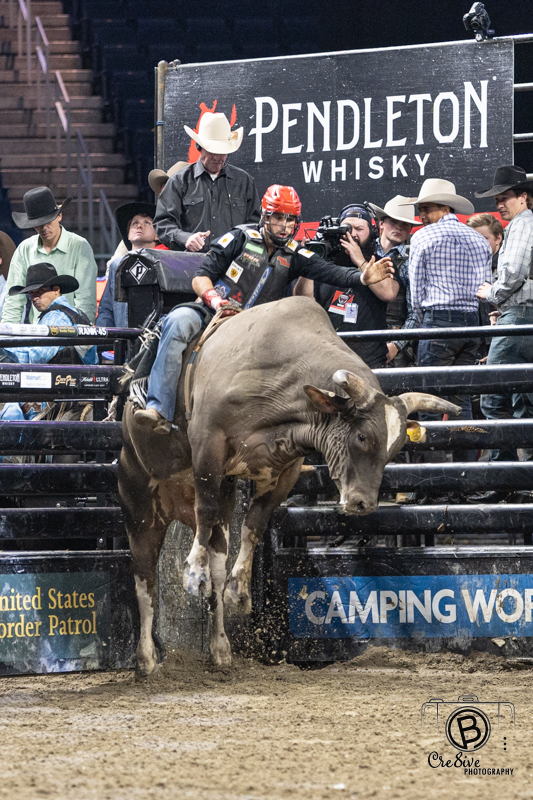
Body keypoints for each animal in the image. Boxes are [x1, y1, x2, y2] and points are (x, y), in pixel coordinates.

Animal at [118, 296, 459, 677]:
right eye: (361, 436)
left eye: (396, 447)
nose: (364, 504)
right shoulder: (208, 443)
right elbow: (205, 510)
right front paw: (193, 571)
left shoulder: (284, 468)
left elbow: (255, 524)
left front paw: (240, 589)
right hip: (139, 504)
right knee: (146, 578)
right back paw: (146, 658)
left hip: (217, 504)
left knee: (215, 557)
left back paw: (220, 648)